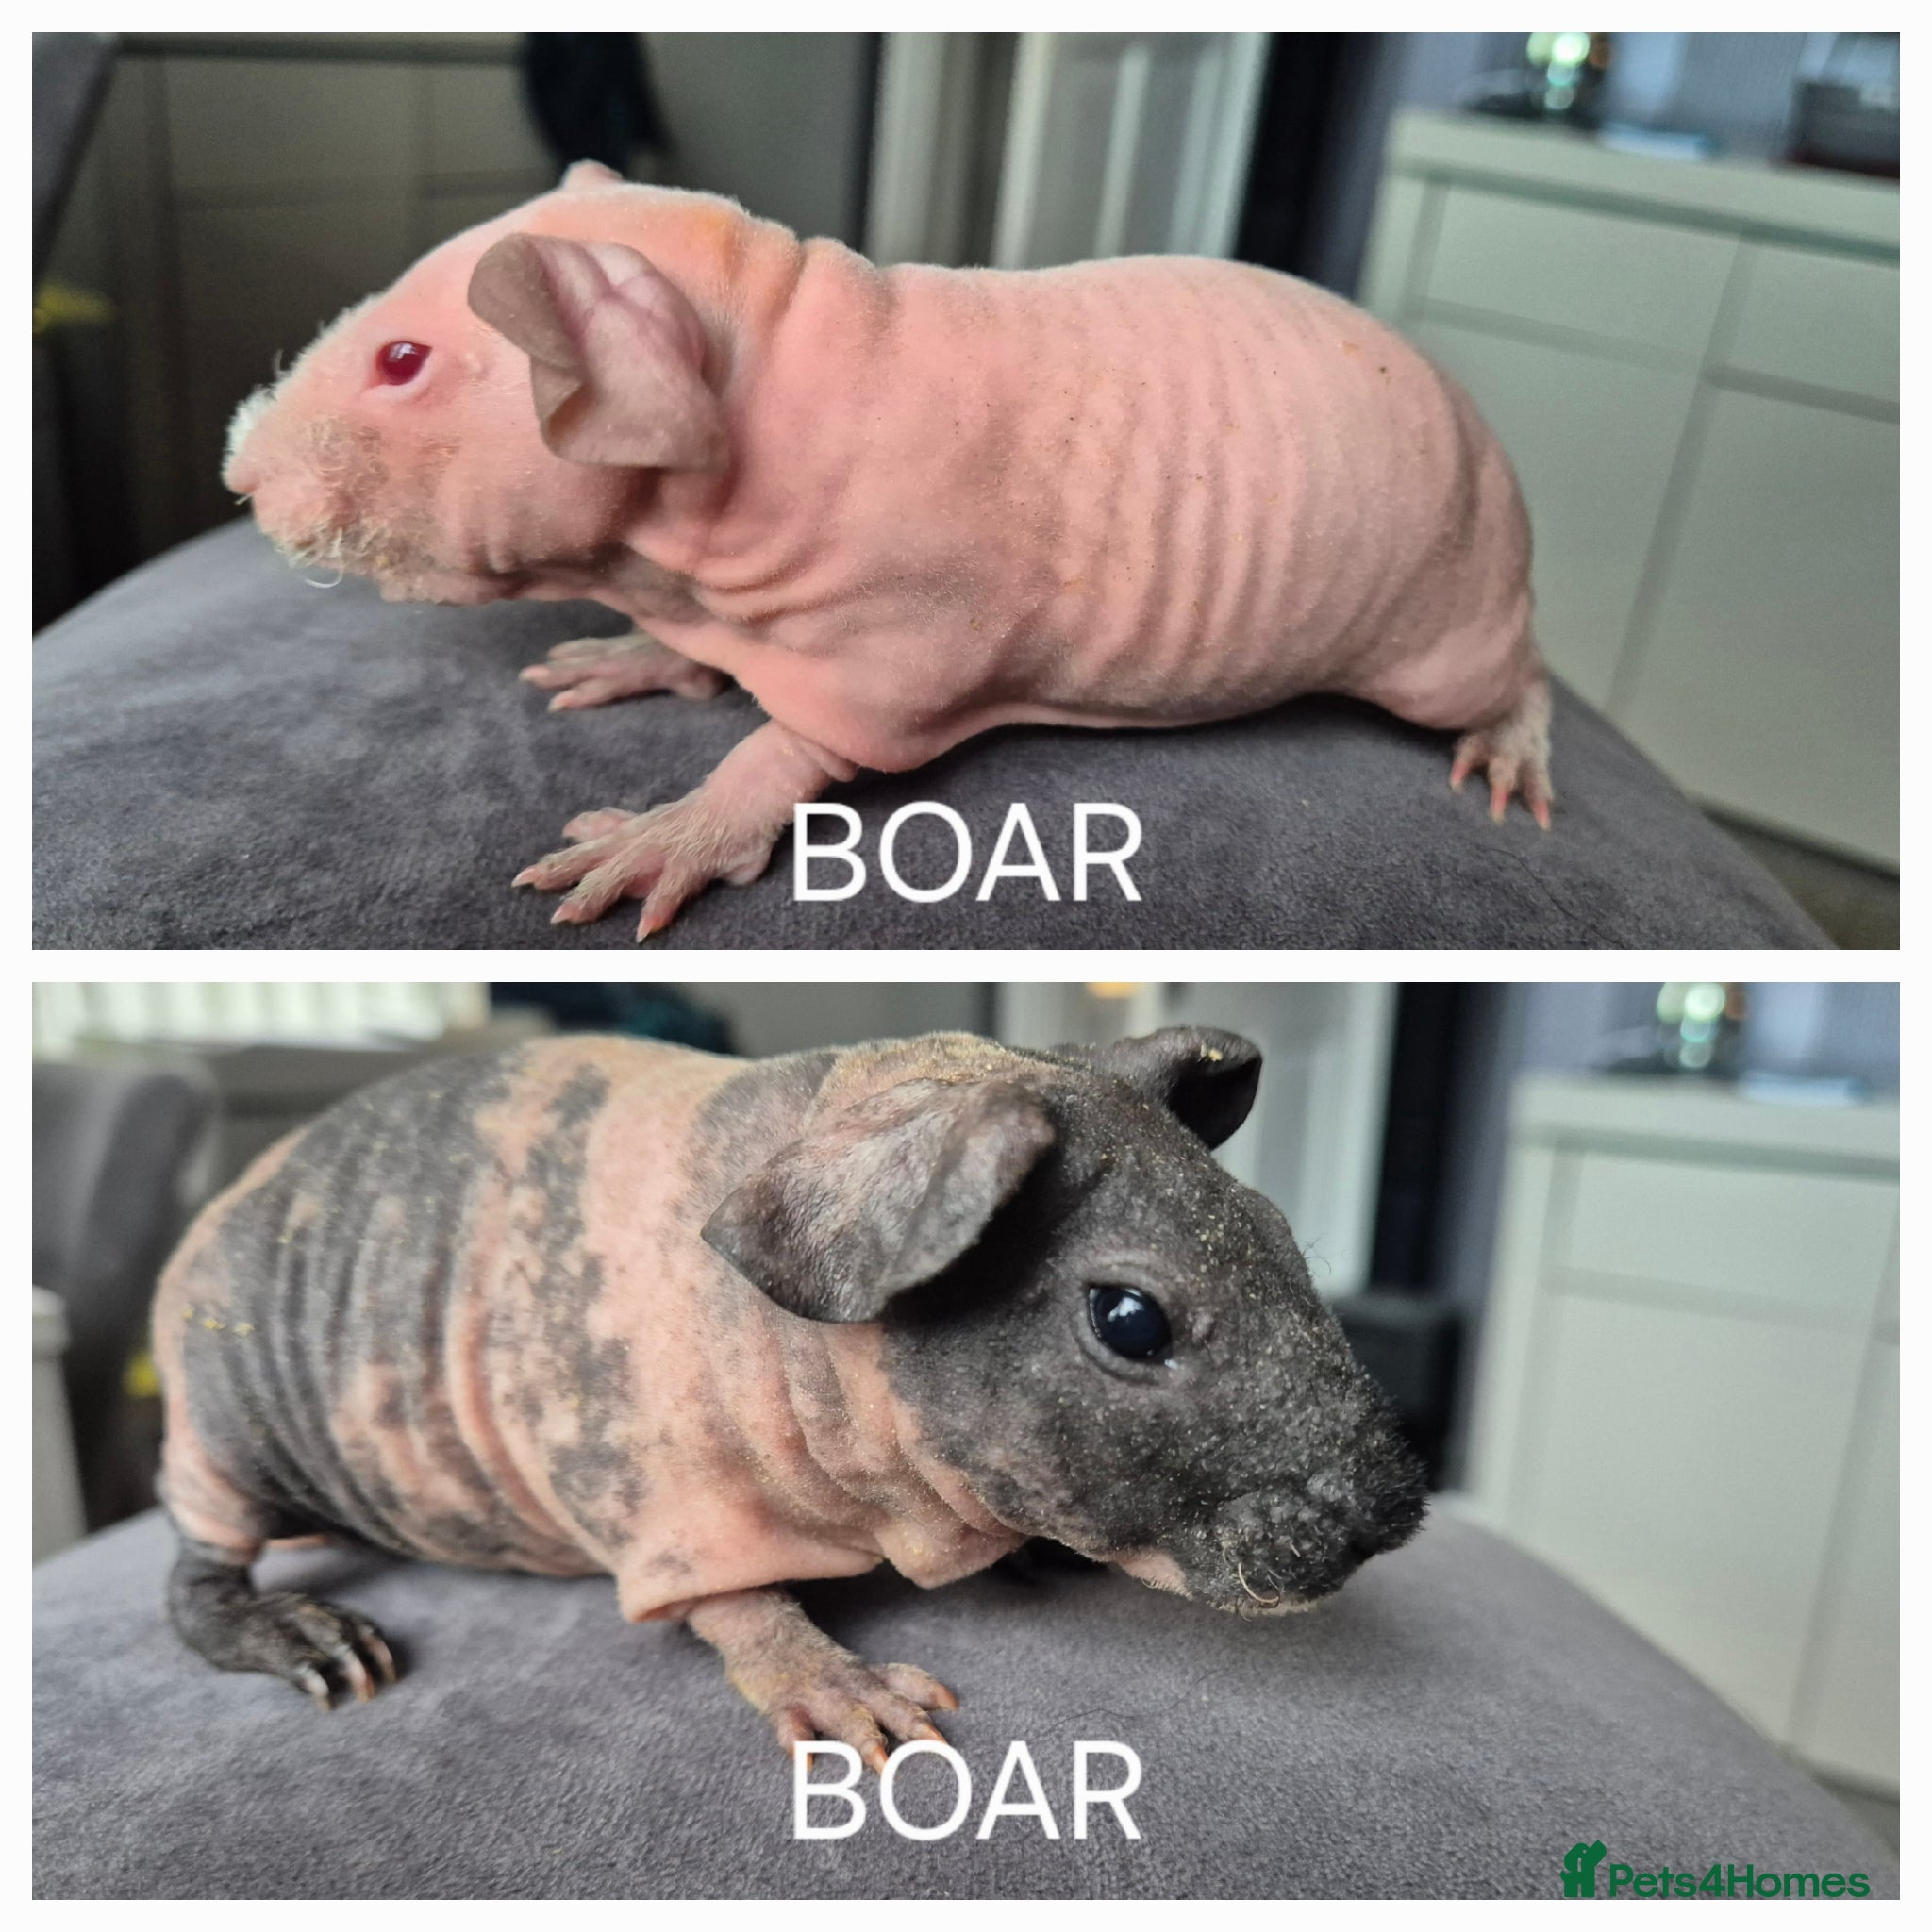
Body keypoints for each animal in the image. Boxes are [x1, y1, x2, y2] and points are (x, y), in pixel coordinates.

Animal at [156, 1026, 1426, 1766]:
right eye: (1130, 1320)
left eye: (1279, 1237)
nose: (1393, 1506)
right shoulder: (657, 1489)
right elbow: (734, 1603)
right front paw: (836, 1679)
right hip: (226, 1432)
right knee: (197, 1569)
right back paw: (292, 1626)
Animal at [221, 162, 1552, 939]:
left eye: (401, 361)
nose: (239, 473)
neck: (769, 343)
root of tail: (1489, 443)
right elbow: (695, 648)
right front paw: (637, 656)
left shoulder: (902, 625)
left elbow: (809, 741)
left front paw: (674, 828)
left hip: (1444, 622)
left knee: (1508, 679)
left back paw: (1508, 740)